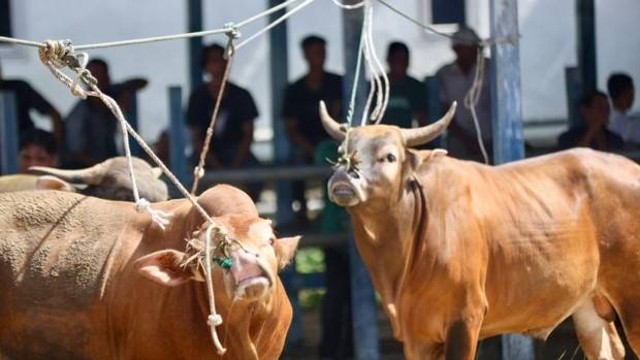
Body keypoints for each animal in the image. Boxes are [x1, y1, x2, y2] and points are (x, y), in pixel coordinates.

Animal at [322, 99, 640, 360]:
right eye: (341, 152)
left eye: (389, 156)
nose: (344, 177)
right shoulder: (416, 336)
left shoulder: (466, 319)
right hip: (589, 305)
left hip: (632, 300)